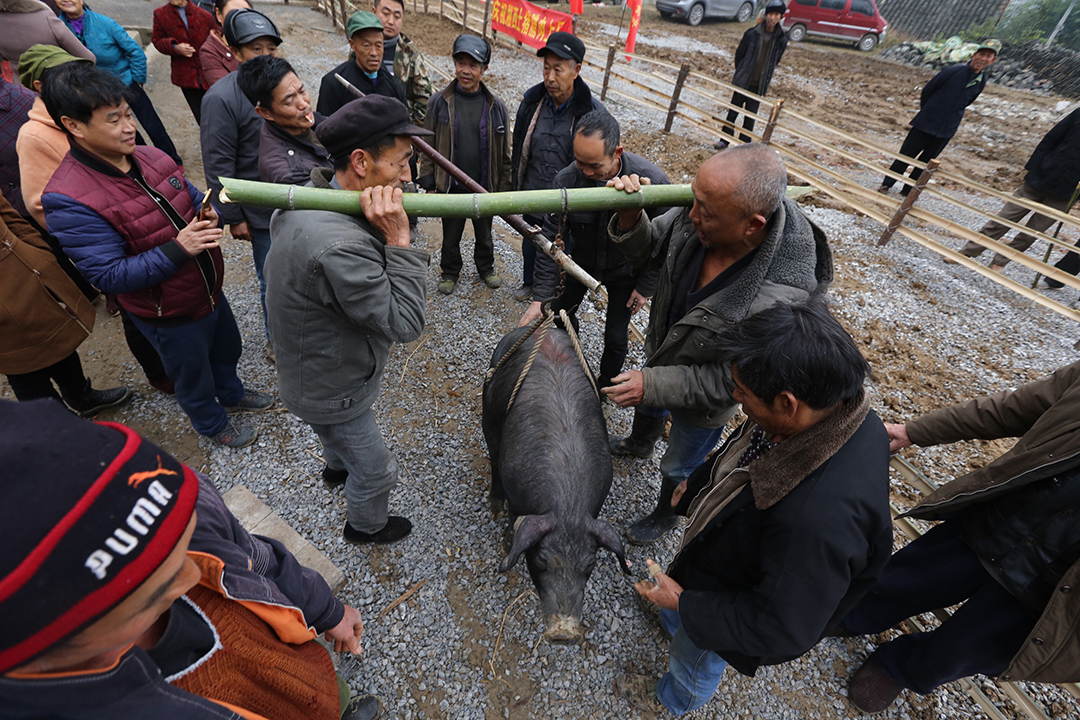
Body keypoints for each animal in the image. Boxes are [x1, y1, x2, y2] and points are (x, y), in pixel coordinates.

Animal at [481, 325, 626, 643]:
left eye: (589, 566)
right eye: (541, 562)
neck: (568, 502)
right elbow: (515, 524)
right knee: (492, 455)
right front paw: (505, 545)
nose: (564, 633)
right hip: (489, 404)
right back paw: (494, 508)